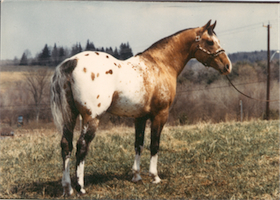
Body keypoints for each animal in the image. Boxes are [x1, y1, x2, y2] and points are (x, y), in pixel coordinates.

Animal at [50, 20, 232, 195]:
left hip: (70, 115)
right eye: (210, 42)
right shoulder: (160, 115)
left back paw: (67, 187)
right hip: (91, 118)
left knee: (66, 145)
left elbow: (139, 144)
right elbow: (154, 144)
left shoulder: (140, 117)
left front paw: (136, 176)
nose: (227, 66)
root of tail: (72, 62)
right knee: (81, 146)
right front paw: (155, 177)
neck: (161, 64)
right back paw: (80, 187)